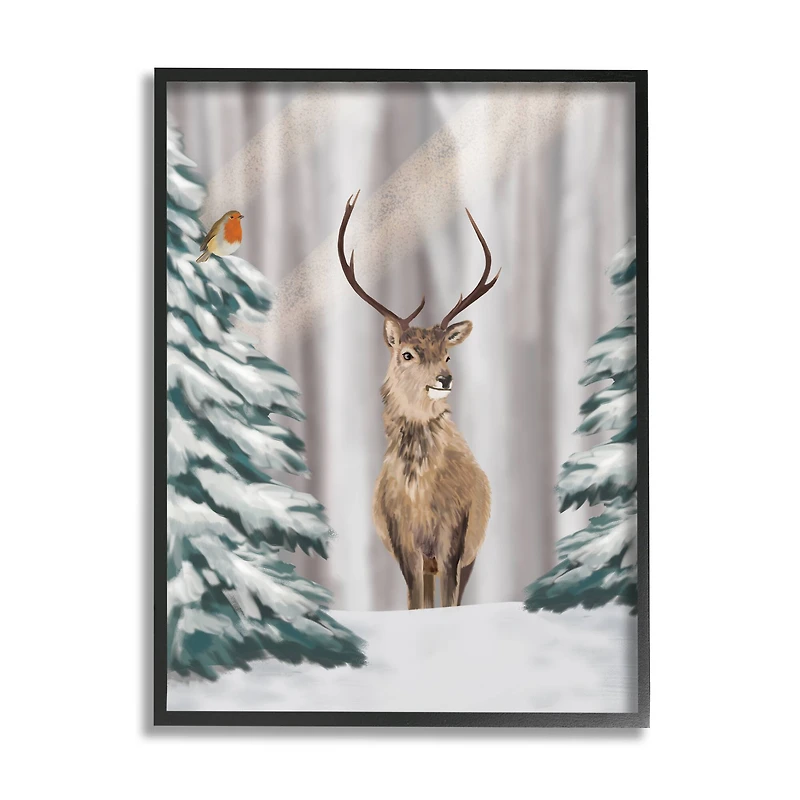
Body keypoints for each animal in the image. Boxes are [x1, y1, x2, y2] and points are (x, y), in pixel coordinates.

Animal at [338, 191, 501, 610]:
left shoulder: (456, 531)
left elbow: (449, 600)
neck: (421, 494)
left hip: (472, 549)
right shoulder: (401, 537)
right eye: (407, 354)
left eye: (448, 355)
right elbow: (414, 603)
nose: (445, 379)